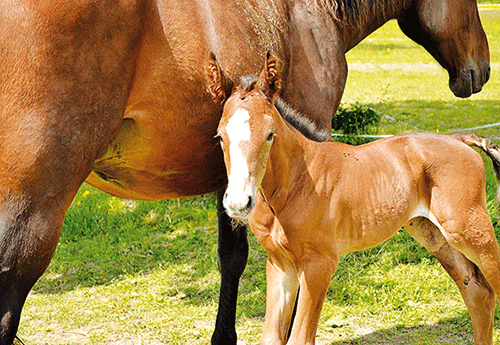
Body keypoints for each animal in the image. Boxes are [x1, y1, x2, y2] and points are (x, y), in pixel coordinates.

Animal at [206, 52, 500, 342]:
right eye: (220, 136)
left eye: (269, 135)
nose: (238, 202)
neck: (295, 183)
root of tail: (460, 139)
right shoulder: (280, 264)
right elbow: (271, 337)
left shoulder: (319, 265)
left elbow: (300, 338)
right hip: (434, 234)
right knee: (478, 293)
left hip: (471, 232)